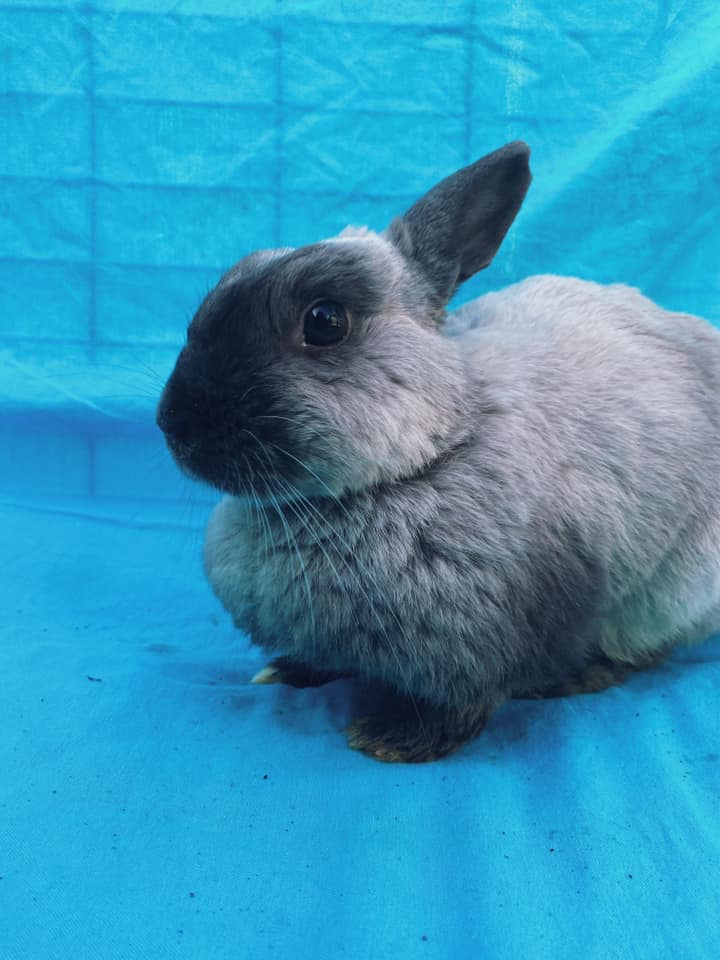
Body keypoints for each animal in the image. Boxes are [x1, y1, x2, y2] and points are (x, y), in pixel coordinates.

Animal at [157, 141, 720, 763]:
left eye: (325, 321)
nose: (174, 426)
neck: (434, 450)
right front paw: (287, 671)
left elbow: (468, 702)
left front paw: (391, 741)